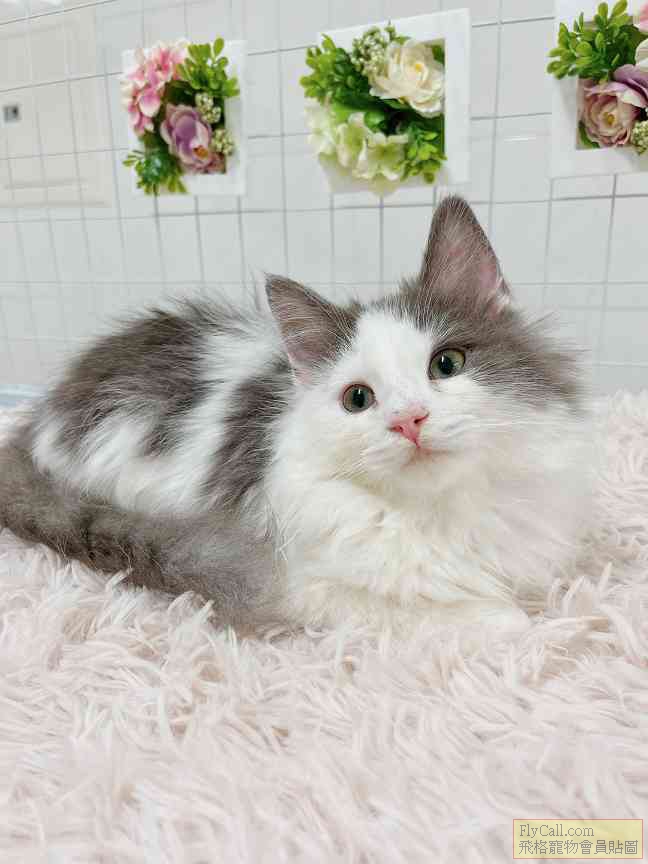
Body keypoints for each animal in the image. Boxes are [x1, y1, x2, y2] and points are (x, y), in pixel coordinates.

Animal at [0, 197, 590, 638]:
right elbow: (477, 616)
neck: (441, 513)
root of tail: (43, 415)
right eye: (358, 399)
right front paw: (518, 622)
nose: (409, 420)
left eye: (446, 364)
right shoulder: (304, 585)